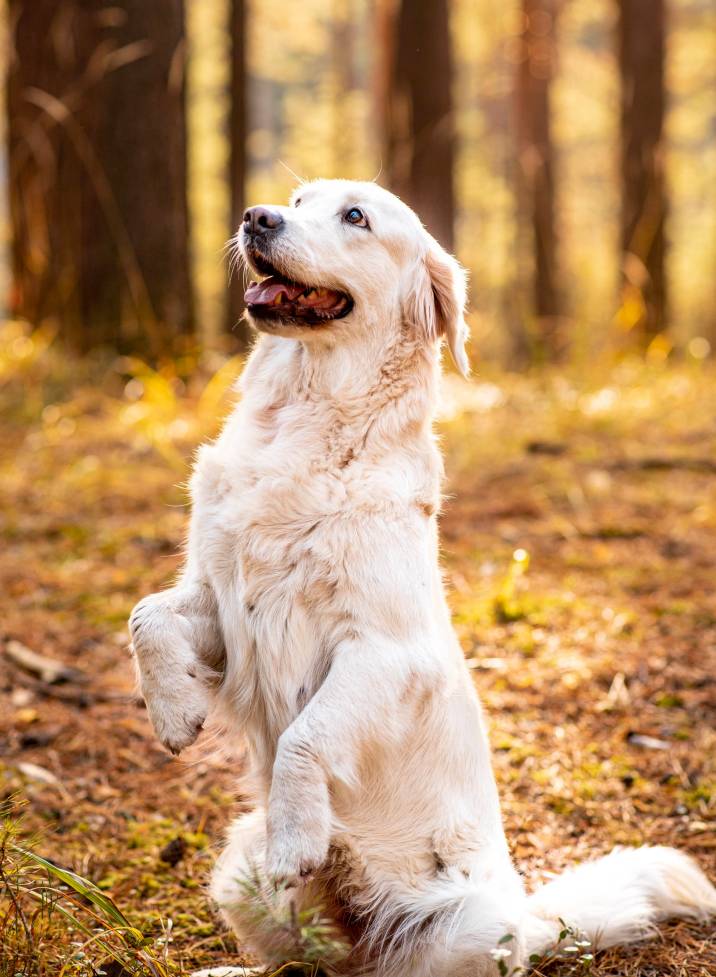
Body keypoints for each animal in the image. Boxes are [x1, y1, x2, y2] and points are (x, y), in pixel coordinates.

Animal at [130, 179, 716, 972]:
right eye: (298, 199)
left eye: (355, 217)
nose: (257, 217)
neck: (304, 419)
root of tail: (534, 919)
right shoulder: (222, 600)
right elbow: (149, 614)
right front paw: (175, 711)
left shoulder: (382, 649)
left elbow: (304, 736)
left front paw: (299, 836)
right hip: (236, 871)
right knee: (303, 962)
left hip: (466, 926)